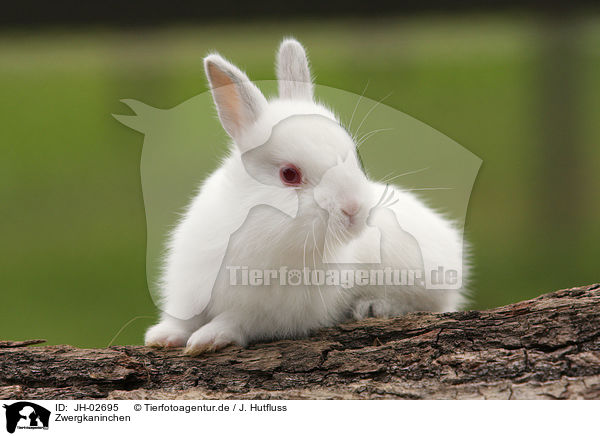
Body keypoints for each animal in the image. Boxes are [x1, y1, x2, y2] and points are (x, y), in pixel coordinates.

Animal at [146, 35, 468, 352]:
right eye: (289, 174)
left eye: (355, 156)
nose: (353, 209)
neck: (256, 227)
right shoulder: (192, 286)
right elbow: (184, 318)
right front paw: (161, 336)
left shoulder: (272, 311)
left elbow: (236, 319)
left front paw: (207, 338)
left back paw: (372, 307)